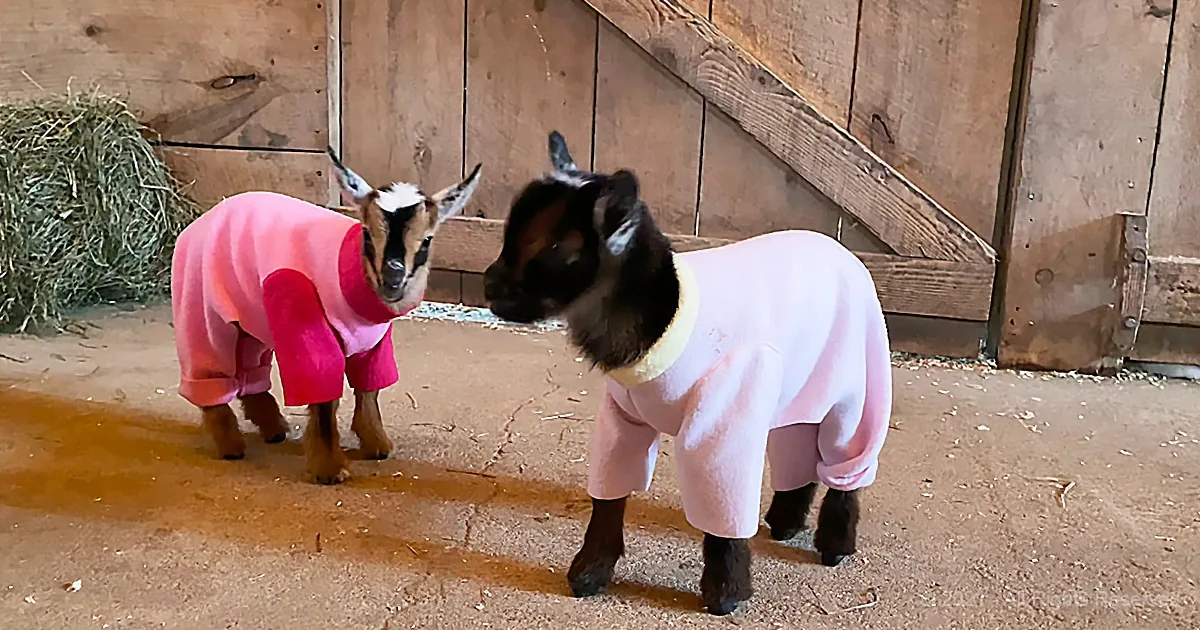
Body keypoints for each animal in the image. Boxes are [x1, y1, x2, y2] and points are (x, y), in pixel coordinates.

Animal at [170, 148, 481, 484]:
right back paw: (230, 445)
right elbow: (323, 397)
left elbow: (369, 390)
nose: (392, 279)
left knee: (250, 366)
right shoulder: (306, 324)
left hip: (252, 316)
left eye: (426, 240)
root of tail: (206, 217)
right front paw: (330, 469)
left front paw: (376, 444)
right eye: (367, 234)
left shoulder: (374, 343)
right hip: (203, 309)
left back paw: (273, 428)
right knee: (210, 370)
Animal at [481, 131, 891, 615]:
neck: (660, 316)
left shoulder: (723, 418)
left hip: (856, 384)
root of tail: (842, 250)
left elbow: (720, 509)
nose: (490, 283)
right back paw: (786, 521)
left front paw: (726, 593)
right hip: (797, 386)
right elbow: (609, 497)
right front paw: (590, 572)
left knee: (847, 463)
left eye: (552, 248)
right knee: (797, 445)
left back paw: (835, 544)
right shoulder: (623, 419)